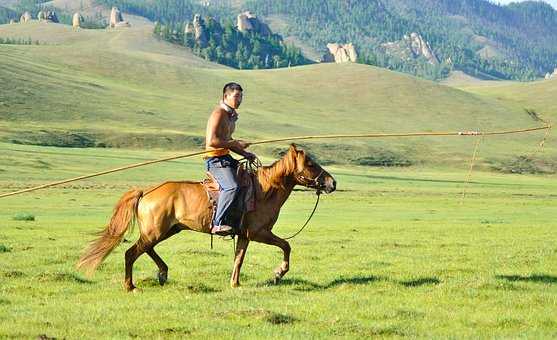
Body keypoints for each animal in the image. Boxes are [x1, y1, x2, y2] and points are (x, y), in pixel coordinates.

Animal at [77, 144, 334, 292]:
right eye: (310, 164)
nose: (333, 182)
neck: (265, 189)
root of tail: (146, 192)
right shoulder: (259, 233)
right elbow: (286, 246)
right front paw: (279, 273)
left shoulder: (245, 235)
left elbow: (238, 259)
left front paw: (235, 283)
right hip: (156, 232)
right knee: (131, 253)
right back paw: (131, 286)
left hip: (166, 230)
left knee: (146, 249)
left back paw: (163, 273)